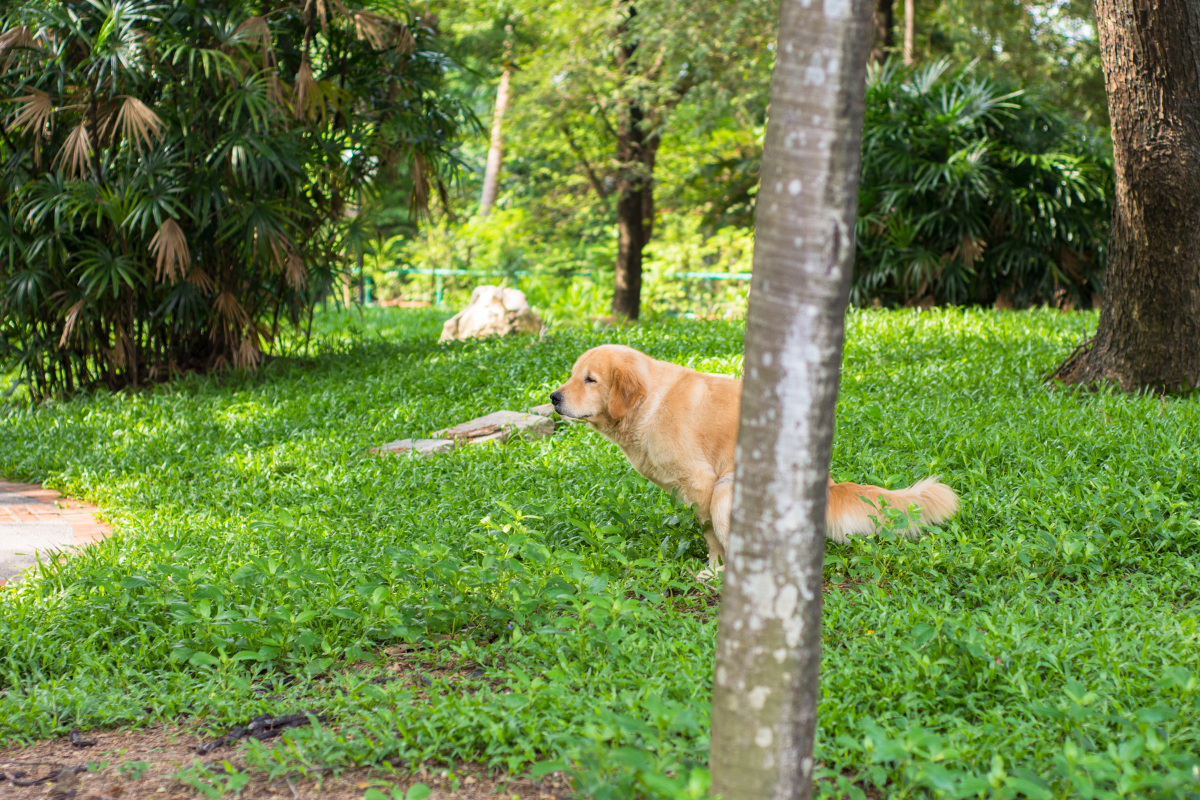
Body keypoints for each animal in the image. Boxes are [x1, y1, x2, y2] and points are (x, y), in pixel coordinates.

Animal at [549, 345, 955, 575]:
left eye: (590, 380)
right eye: (572, 376)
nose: (553, 397)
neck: (649, 403)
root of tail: (828, 486)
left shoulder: (704, 484)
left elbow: (711, 535)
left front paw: (713, 569)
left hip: (728, 492)